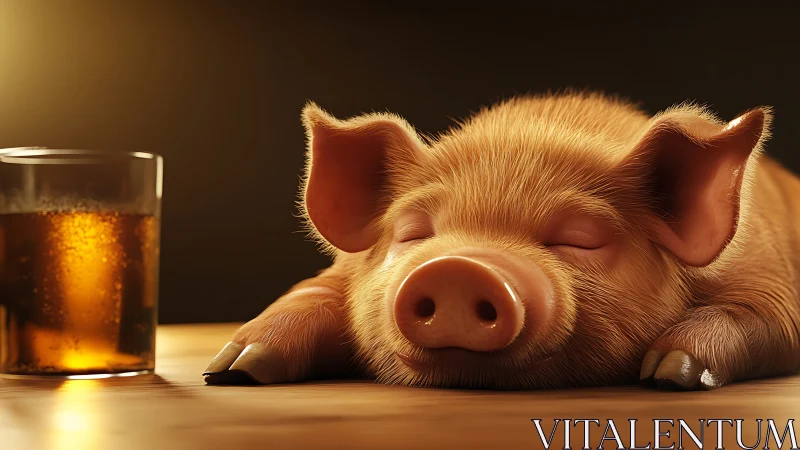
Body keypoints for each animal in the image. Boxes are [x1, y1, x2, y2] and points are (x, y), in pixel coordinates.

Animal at [203, 91, 800, 390]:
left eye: (578, 240)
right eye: (415, 233)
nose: (457, 267)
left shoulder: (772, 282)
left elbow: (758, 316)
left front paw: (672, 374)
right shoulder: (340, 274)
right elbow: (308, 296)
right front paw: (233, 368)